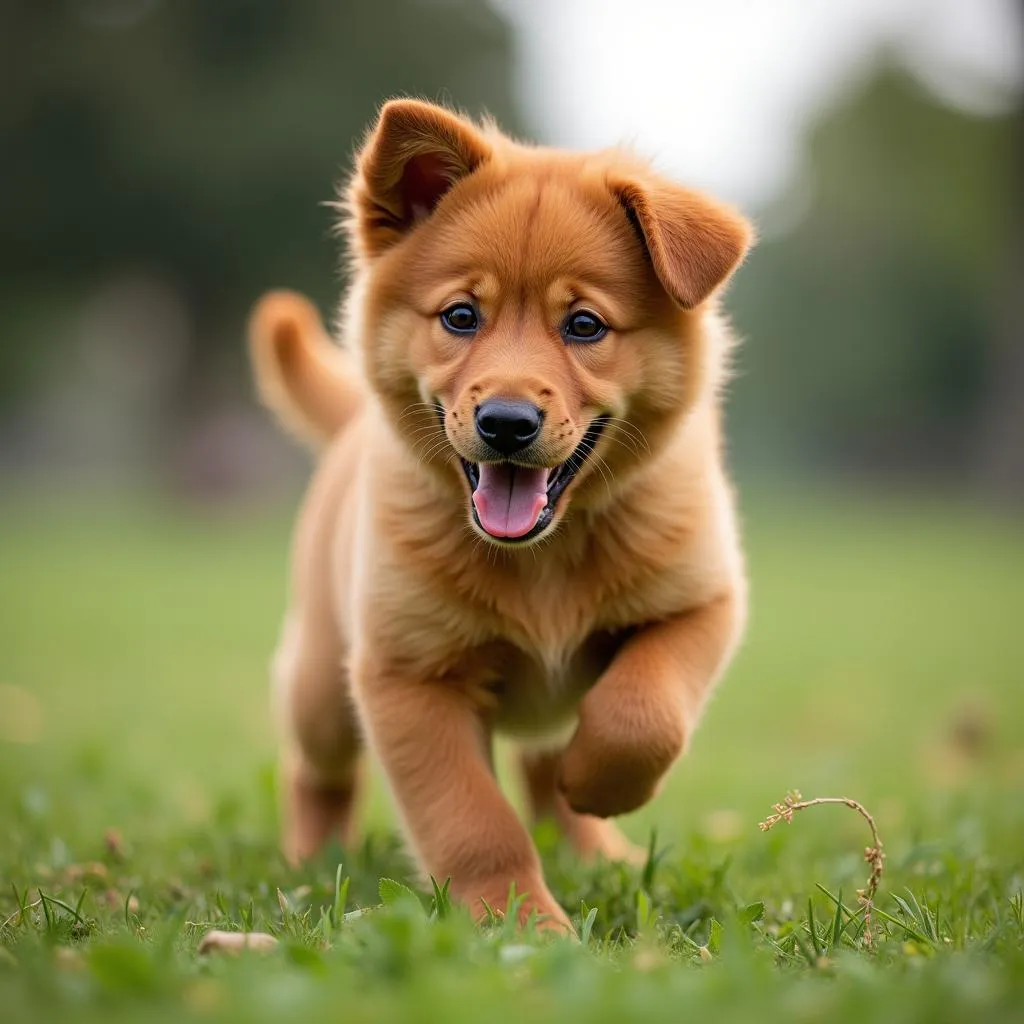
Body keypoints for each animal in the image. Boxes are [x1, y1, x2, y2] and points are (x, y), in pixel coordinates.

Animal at [251, 99, 757, 933]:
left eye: (584, 326)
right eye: (461, 316)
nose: (507, 423)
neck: (543, 556)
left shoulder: (701, 603)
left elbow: (642, 713)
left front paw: (599, 785)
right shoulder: (407, 675)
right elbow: (473, 822)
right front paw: (518, 924)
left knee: (548, 758)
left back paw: (595, 844)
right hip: (323, 685)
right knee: (314, 771)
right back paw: (309, 861)